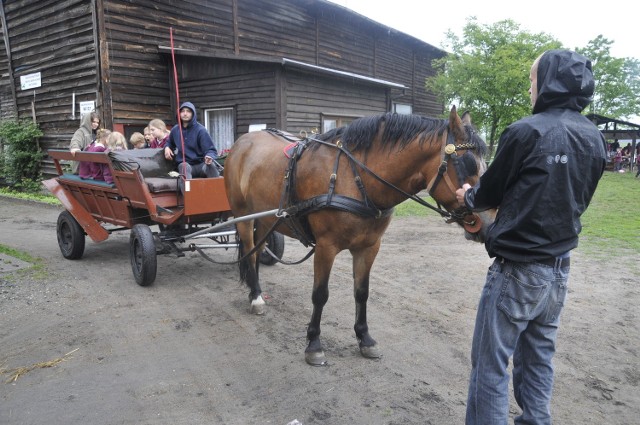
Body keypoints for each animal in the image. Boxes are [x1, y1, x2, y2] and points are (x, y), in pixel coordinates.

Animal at [225, 106, 496, 364]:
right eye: (468, 164)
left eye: (486, 165)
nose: (490, 222)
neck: (354, 177)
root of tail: (241, 142)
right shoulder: (325, 247)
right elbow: (320, 295)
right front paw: (314, 344)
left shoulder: (369, 246)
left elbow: (362, 292)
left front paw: (364, 338)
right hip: (243, 216)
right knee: (250, 252)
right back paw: (256, 298)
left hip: (264, 218)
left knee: (257, 251)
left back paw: (255, 291)